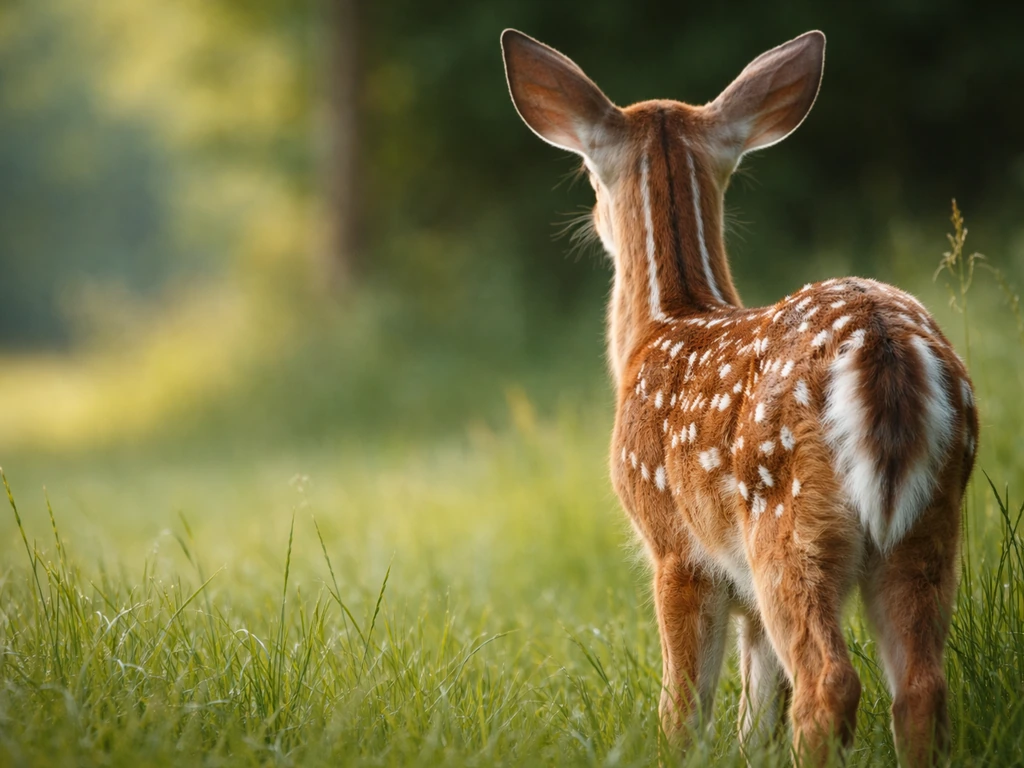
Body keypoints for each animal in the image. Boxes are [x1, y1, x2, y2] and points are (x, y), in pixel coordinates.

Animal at [500, 29, 978, 767]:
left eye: (588, 174)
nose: (590, 218)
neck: (667, 321)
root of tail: (885, 348)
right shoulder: (743, 589)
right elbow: (754, 717)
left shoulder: (675, 544)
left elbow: (684, 703)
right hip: (930, 519)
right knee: (922, 686)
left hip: (786, 519)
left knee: (828, 683)